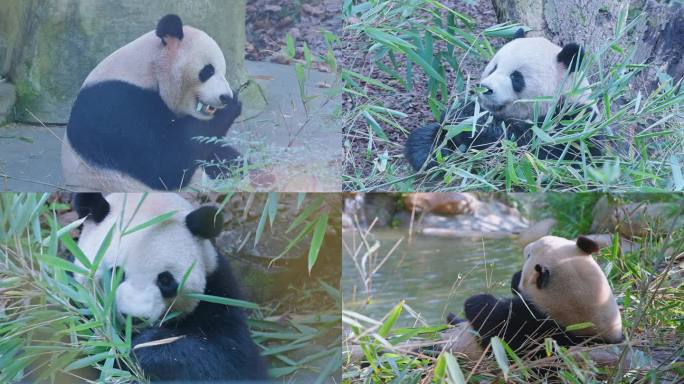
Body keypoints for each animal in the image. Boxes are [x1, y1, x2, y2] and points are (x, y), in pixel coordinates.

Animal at [62, 15, 243, 192]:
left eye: (223, 71)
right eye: (208, 70)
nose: (225, 97)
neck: (149, 69)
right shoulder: (116, 104)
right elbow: (166, 163)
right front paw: (233, 105)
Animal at [72, 192, 268, 380]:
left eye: (165, 280)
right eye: (116, 273)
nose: (134, 318)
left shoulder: (218, 294)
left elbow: (229, 357)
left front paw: (147, 346)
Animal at [406, 35, 600, 172]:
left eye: (516, 77)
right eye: (493, 68)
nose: (485, 89)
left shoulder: (576, 124)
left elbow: (536, 149)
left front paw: (474, 125)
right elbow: (434, 134)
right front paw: (434, 151)